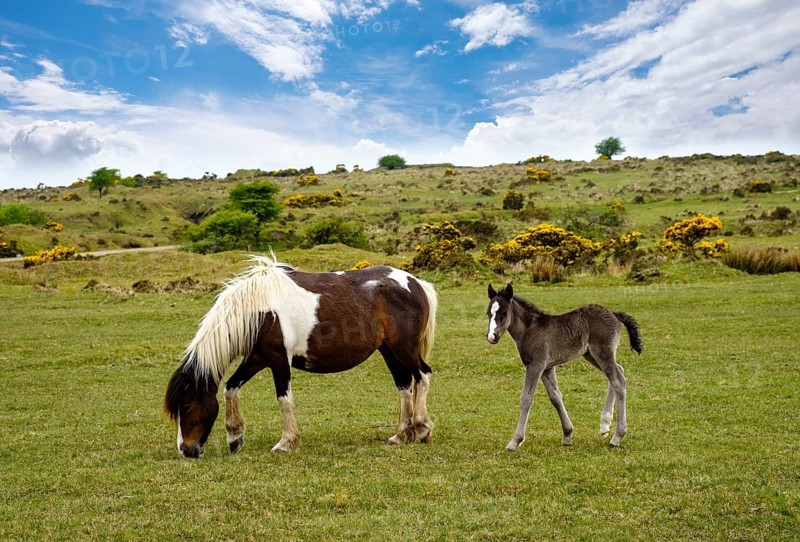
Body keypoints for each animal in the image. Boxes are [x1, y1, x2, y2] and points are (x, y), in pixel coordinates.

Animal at [164, 254, 437, 458]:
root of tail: (415, 283)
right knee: (404, 385)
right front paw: (235, 437)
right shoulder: (256, 359)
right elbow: (230, 388)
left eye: (185, 406)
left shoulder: (278, 361)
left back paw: (422, 428)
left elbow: (284, 400)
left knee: (422, 375)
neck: (259, 311)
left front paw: (286, 443)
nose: (185, 450)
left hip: (404, 349)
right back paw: (401, 436)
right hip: (389, 351)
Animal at [485, 283, 643, 450]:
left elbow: (526, 399)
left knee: (618, 381)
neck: (529, 330)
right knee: (618, 371)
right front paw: (567, 434)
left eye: (503, 313)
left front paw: (515, 441)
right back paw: (605, 425)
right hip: (591, 355)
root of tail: (613, 313)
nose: (491, 337)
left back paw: (617, 436)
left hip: (602, 353)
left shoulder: (535, 365)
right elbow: (555, 397)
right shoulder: (547, 367)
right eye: (488, 313)